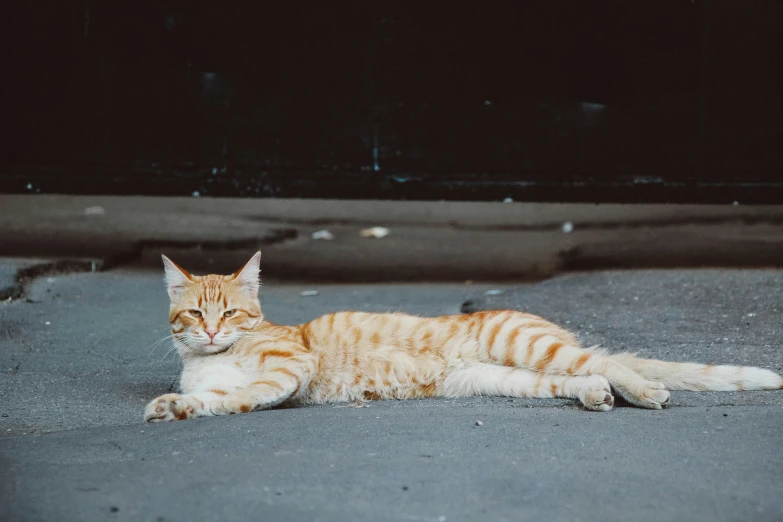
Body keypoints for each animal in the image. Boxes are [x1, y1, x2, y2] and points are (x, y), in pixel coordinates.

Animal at [144, 250, 780, 420]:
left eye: (230, 314)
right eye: (195, 314)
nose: (210, 332)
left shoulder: (289, 368)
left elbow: (245, 392)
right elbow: (211, 397)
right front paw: (175, 406)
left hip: (528, 345)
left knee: (608, 361)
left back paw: (644, 392)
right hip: (508, 377)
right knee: (585, 375)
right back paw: (596, 396)